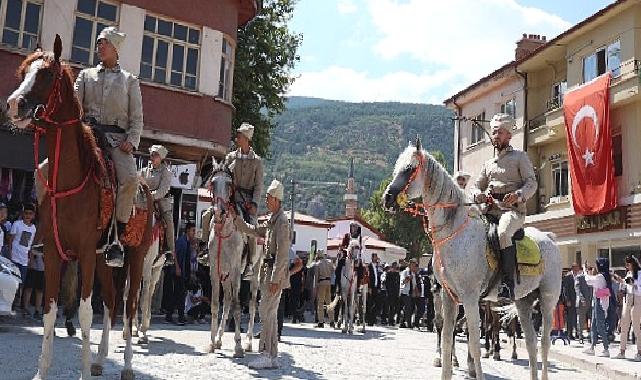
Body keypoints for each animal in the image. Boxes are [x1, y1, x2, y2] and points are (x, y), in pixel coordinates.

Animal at [5, 34, 152, 378]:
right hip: (103, 260)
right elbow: (49, 312)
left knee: (129, 306)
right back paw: (100, 360)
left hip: (135, 258)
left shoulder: (84, 253)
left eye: (46, 75)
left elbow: (84, 313)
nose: (14, 104)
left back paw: (126, 366)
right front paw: (42, 371)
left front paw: (84, 370)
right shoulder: (54, 254)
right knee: (111, 301)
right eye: (23, 72)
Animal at [382, 140, 556, 380]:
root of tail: (548, 237)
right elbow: (447, 337)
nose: (387, 198)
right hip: (524, 301)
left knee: (544, 342)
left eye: (409, 168)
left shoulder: (471, 297)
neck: (454, 232)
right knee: (531, 342)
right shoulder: (448, 296)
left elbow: (474, 341)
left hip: (548, 299)